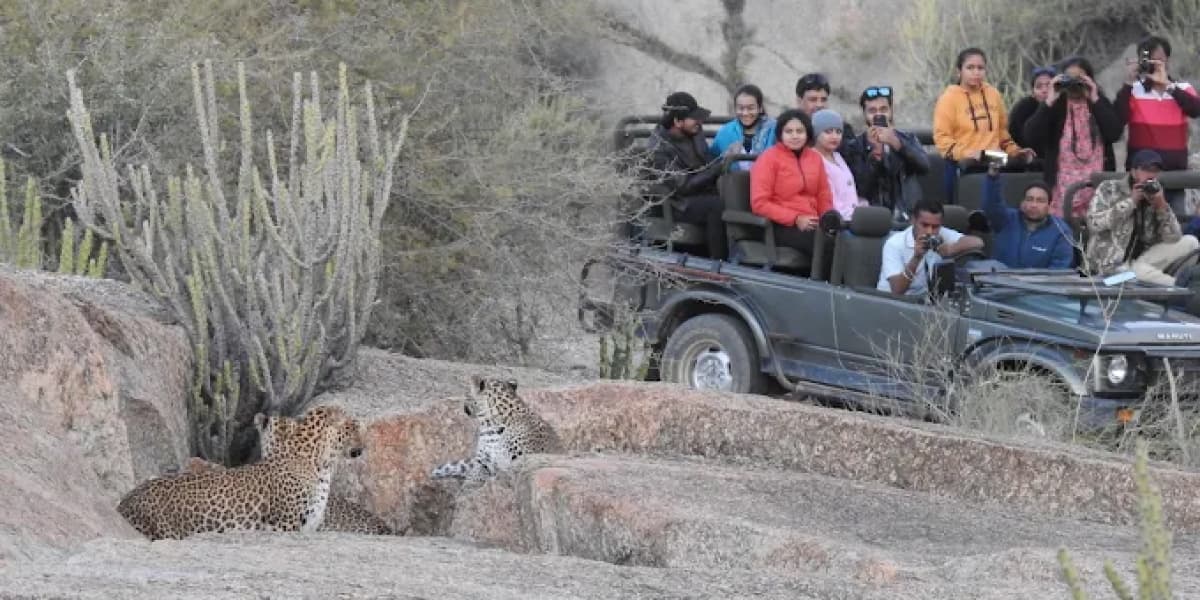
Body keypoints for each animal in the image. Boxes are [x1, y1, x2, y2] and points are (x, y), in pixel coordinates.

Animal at [430, 375, 562, 483]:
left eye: (466, 394)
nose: (463, 407)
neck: (490, 426)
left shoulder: (519, 459)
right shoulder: (483, 462)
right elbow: (475, 477)